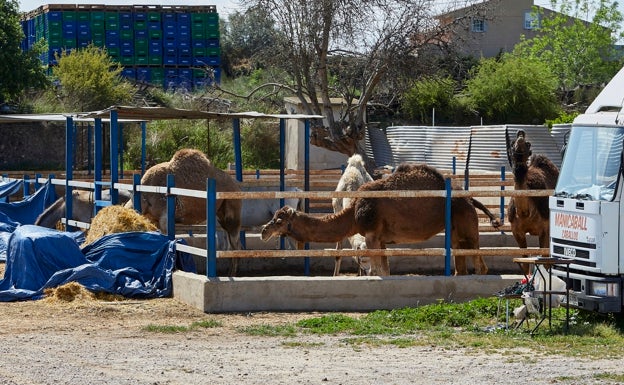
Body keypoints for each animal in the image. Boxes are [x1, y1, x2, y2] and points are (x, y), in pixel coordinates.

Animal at [260, 162, 502, 276]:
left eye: (279, 220)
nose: (264, 231)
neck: (354, 213)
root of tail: (470, 199)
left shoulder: (372, 235)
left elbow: (378, 271)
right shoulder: (382, 239)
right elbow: (384, 270)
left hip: (468, 225)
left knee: (480, 263)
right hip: (455, 230)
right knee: (460, 263)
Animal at [508, 129, 560, 272]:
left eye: (528, 145)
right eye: (511, 144)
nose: (520, 134)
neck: (525, 212)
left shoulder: (545, 229)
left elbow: (546, 261)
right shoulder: (516, 231)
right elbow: (525, 262)